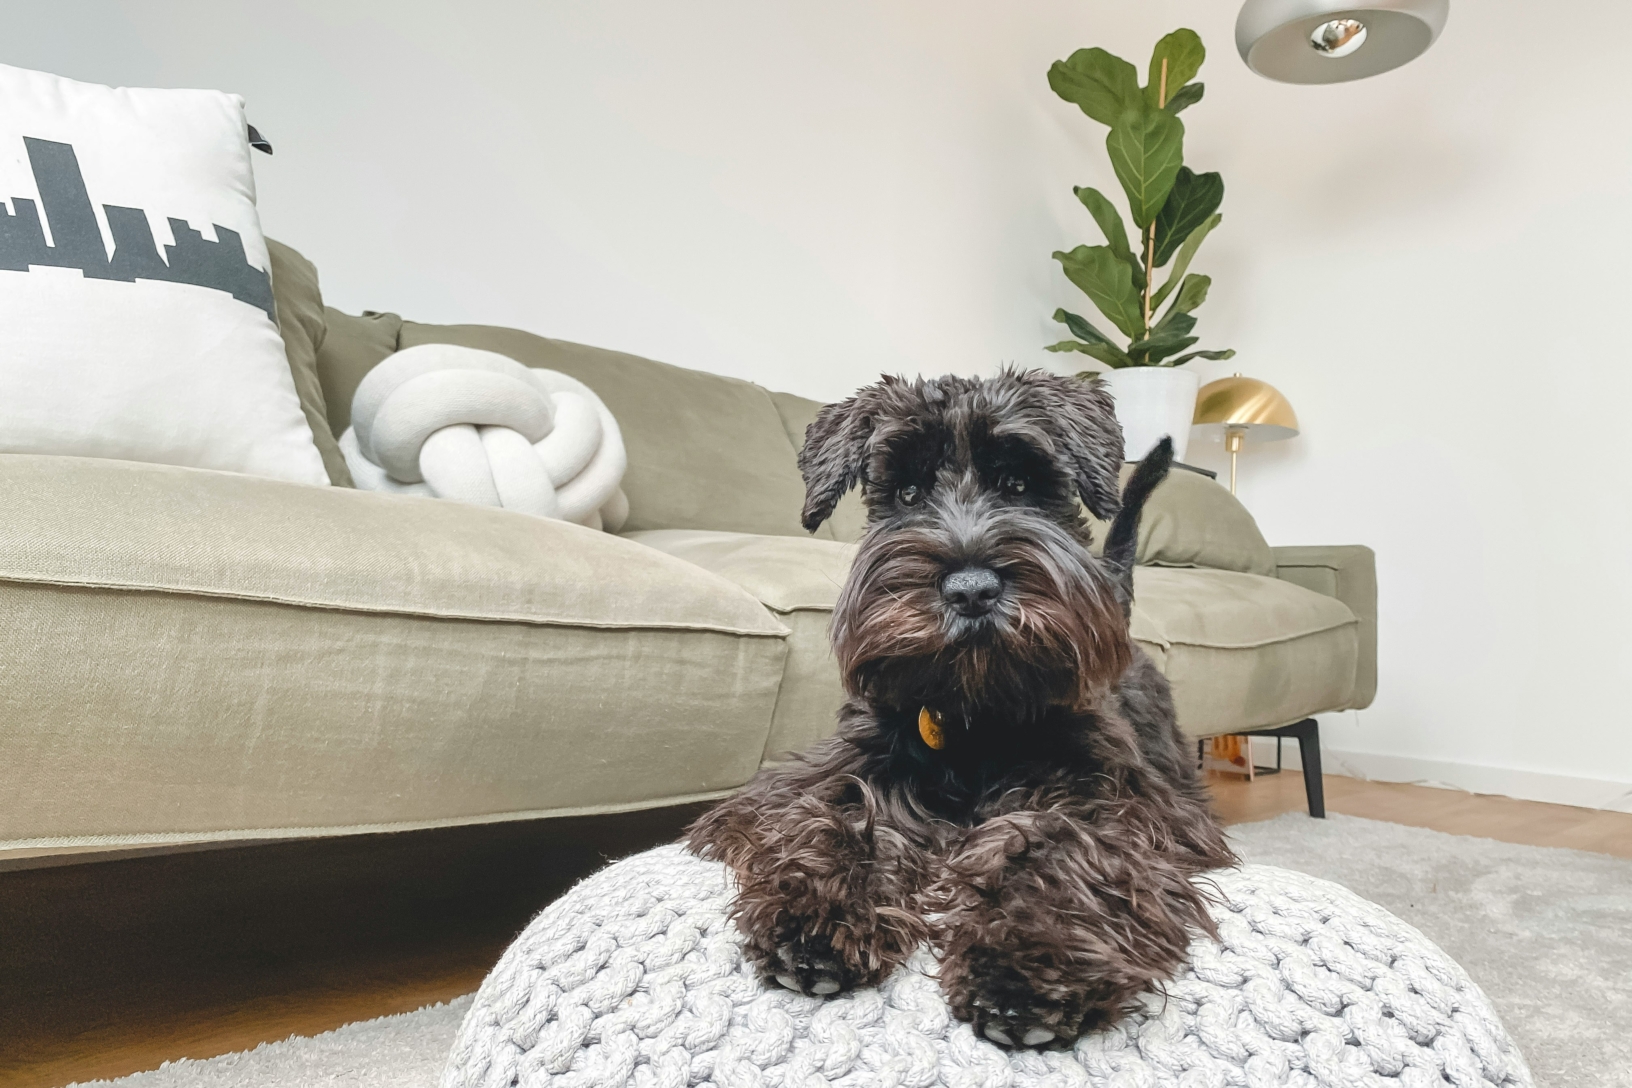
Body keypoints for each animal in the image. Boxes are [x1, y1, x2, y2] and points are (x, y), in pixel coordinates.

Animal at [682, 370, 1227, 1050]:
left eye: (1019, 484)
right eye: (907, 491)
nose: (970, 590)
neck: (977, 712)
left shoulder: (1123, 803)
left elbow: (1060, 843)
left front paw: (1026, 961)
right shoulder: (820, 779)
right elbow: (841, 813)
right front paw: (815, 912)